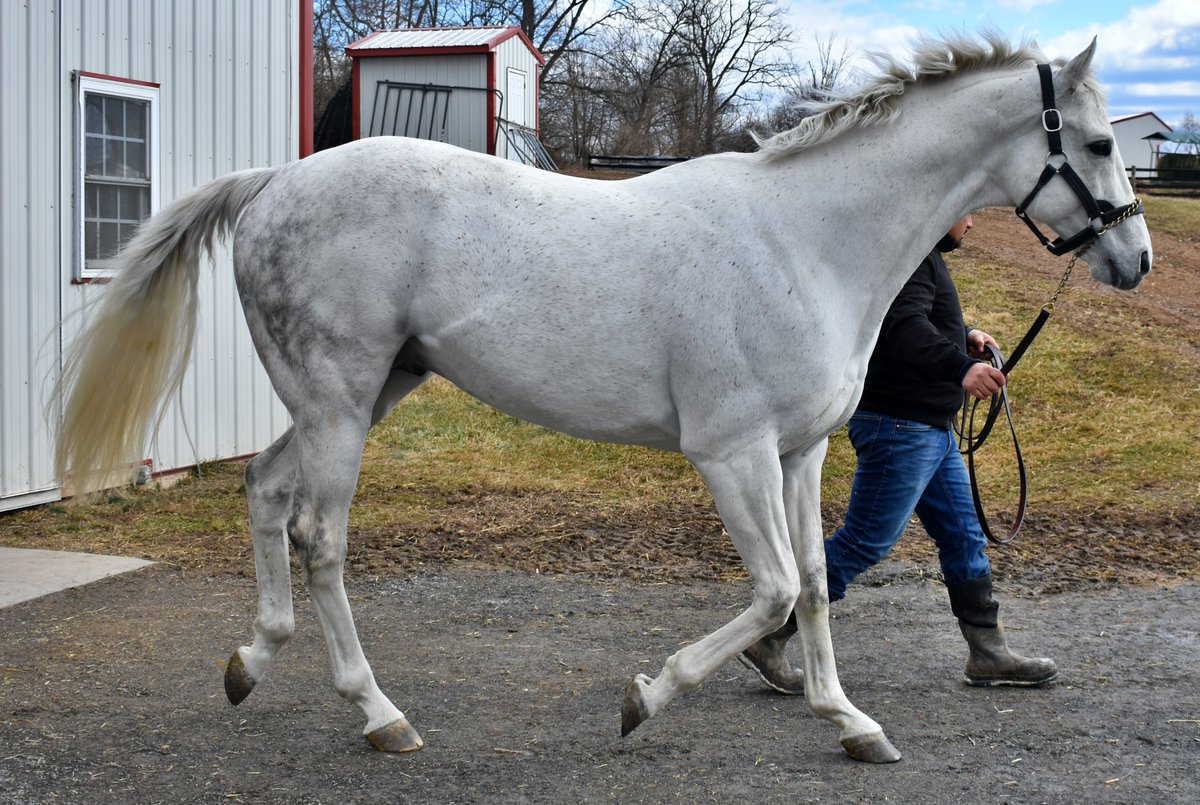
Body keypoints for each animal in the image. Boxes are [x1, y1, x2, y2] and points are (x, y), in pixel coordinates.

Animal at [55, 32, 1151, 764]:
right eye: (1100, 145)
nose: (1135, 260)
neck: (807, 239)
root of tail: (274, 180)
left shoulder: (800, 454)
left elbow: (815, 584)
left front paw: (849, 721)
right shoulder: (731, 452)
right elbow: (773, 590)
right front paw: (646, 696)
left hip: (360, 398)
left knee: (263, 491)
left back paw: (253, 660)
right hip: (339, 404)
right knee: (319, 538)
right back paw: (380, 714)